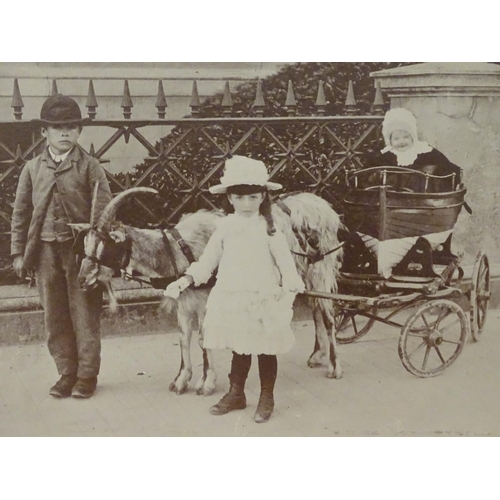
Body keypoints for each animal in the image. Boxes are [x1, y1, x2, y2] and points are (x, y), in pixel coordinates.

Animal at [75, 186, 344, 396]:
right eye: (86, 245)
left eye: (103, 247)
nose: (81, 280)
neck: (177, 249)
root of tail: (325, 209)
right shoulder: (184, 303)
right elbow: (183, 338)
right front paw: (180, 381)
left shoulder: (205, 301)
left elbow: (204, 339)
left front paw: (206, 383)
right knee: (316, 309)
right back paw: (317, 356)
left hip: (321, 270)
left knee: (329, 316)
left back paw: (334, 367)